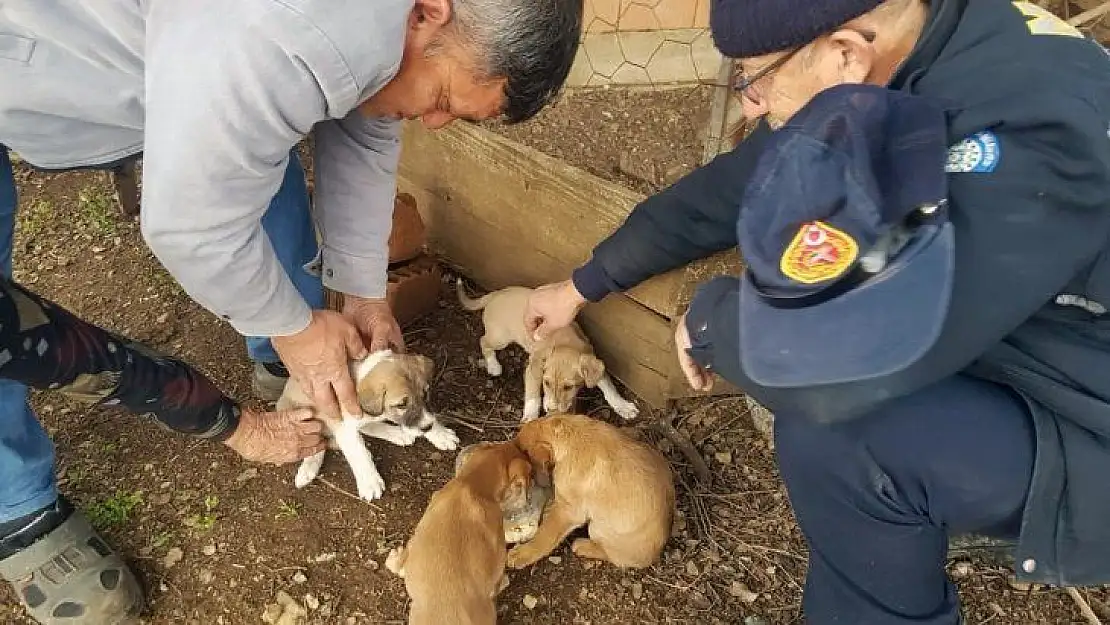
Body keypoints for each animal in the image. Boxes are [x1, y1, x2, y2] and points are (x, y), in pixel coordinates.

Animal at [275, 353, 461, 503]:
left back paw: (398, 434)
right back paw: (308, 470)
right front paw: (370, 482)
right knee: (316, 444)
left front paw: (440, 433)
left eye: (426, 394)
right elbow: (360, 453)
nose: (427, 427)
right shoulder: (343, 427)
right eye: (401, 404)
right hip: (304, 419)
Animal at [452, 280, 643, 424]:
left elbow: (609, 388)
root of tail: (496, 294)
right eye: (547, 383)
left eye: (569, 387)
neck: (566, 342)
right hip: (501, 337)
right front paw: (530, 416)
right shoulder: (532, 370)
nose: (551, 409)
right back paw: (493, 365)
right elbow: (532, 396)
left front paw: (623, 406)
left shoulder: (594, 364)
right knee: (483, 341)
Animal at [506, 415, 674, 572]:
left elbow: (545, 535)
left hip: (598, 528)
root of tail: (655, 555)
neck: (569, 436)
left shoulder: (568, 511)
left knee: (613, 556)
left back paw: (583, 546)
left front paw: (522, 553)